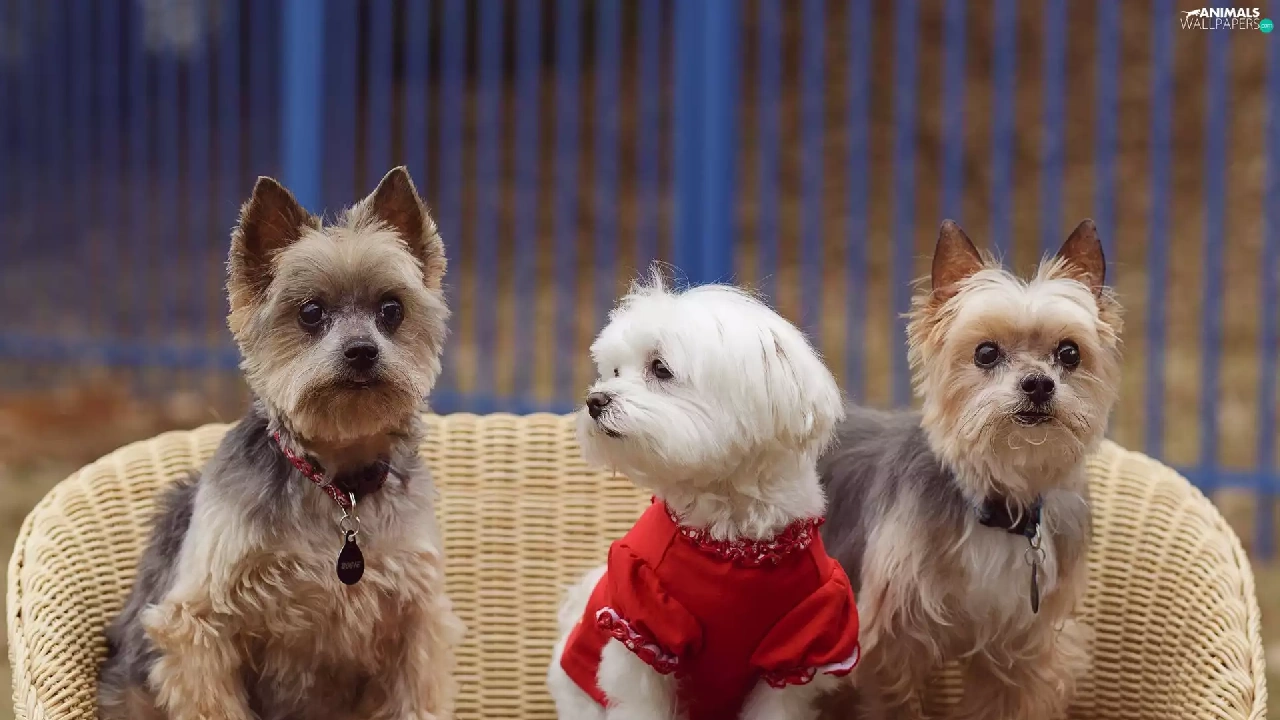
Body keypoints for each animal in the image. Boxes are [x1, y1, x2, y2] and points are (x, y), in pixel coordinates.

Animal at [98, 167, 465, 720]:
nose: (362, 351)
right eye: (311, 312)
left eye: (391, 310)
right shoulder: (196, 626)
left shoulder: (415, 621)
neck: (336, 481)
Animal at [546, 271, 861, 720]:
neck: (732, 543)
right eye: (613, 370)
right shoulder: (642, 629)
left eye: (660, 368)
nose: (594, 400)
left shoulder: (800, 646)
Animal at [817, 220, 1122, 720]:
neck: (997, 503)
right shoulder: (890, 646)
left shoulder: (1020, 653)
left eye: (1069, 353)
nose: (1038, 384)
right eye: (985, 353)